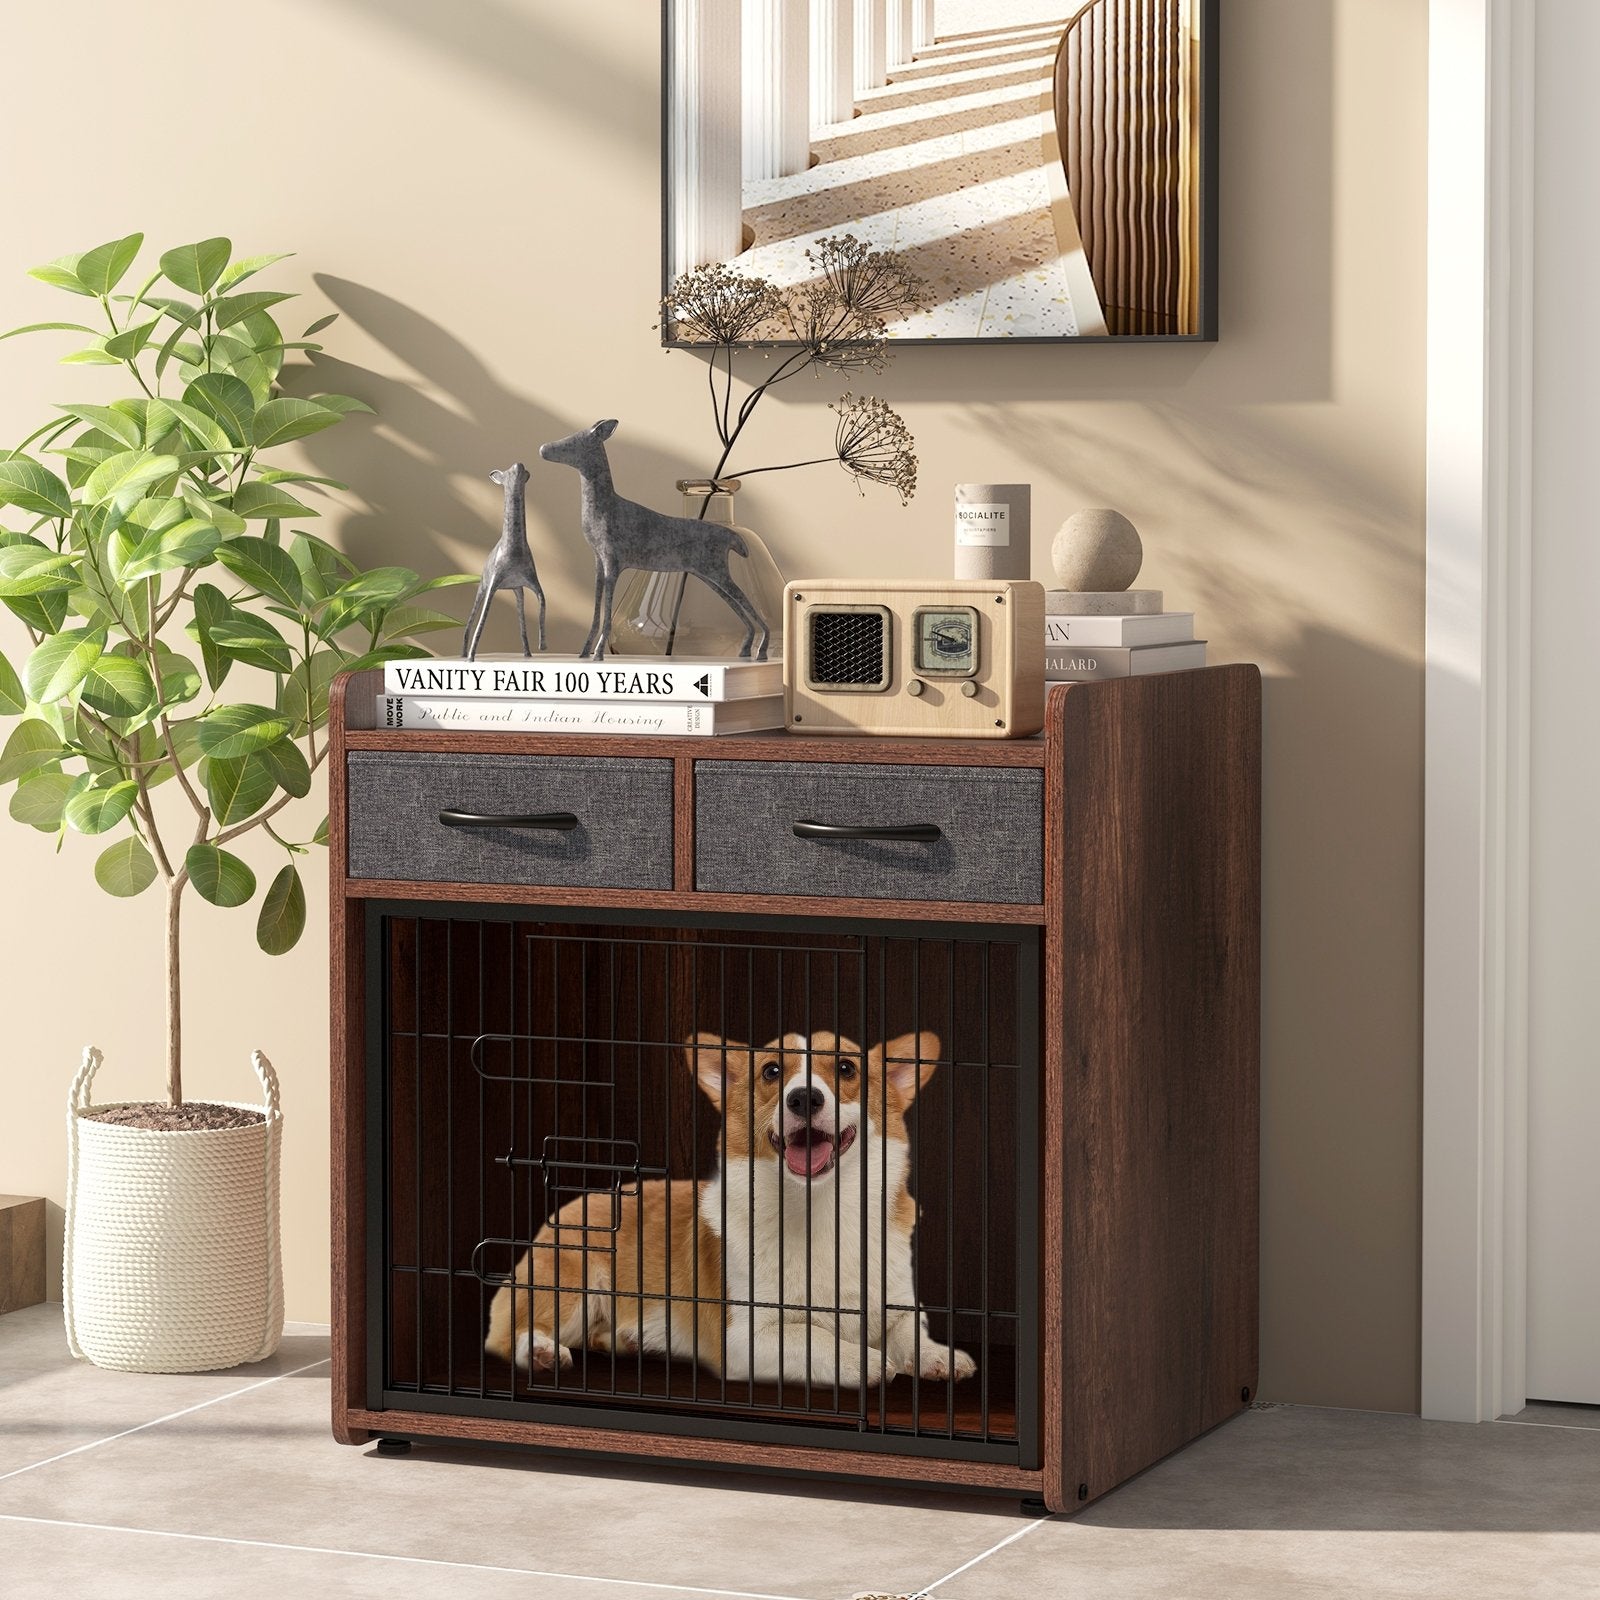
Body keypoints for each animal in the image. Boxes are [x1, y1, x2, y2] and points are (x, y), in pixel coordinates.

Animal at [480, 1024, 972, 1388]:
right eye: (771, 1072)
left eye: (847, 1068)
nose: (803, 1097)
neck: (818, 1207)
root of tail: (571, 1206)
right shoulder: (745, 1336)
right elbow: (811, 1335)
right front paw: (863, 1360)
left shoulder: (898, 1303)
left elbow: (908, 1331)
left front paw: (938, 1356)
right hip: (571, 1287)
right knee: (509, 1333)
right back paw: (541, 1352)